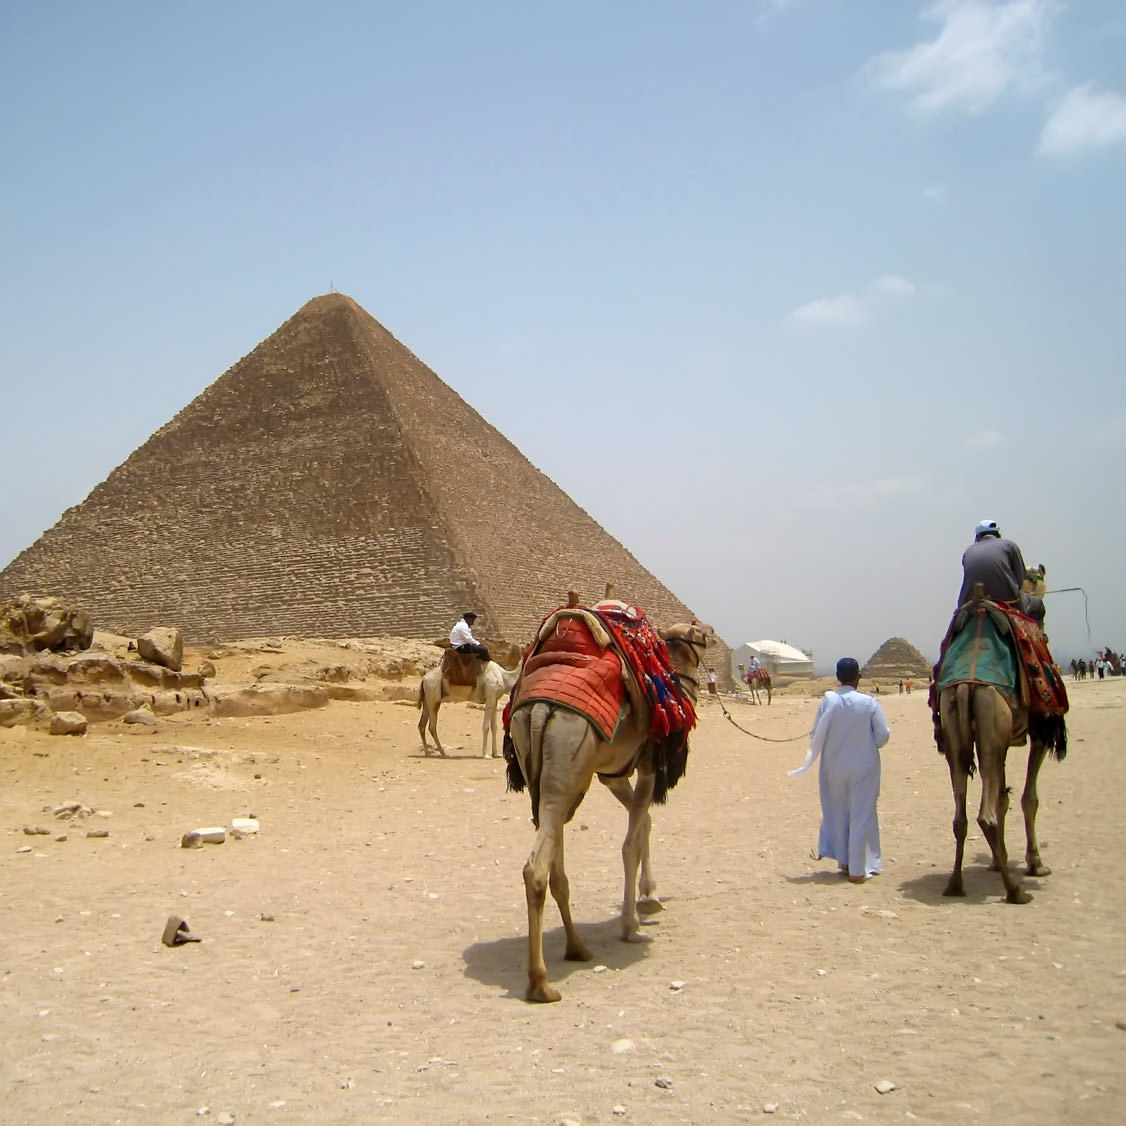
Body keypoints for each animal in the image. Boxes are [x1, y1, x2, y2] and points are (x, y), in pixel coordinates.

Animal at [506, 617, 707, 1004]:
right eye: (705, 636)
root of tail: (539, 712)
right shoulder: (647, 764)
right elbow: (630, 844)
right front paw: (633, 924)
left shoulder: (613, 775)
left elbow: (644, 823)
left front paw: (650, 896)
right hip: (569, 766)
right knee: (536, 869)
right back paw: (540, 982)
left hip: (547, 779)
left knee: (554, 867)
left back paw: (576, 947)